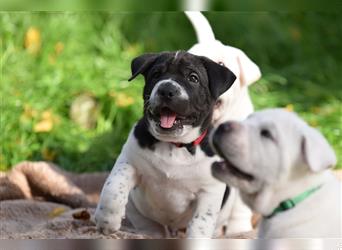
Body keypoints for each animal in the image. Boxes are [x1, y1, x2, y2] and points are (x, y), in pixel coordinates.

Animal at [93, 50, 243, 238]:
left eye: (193, 78)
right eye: (156, 74)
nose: (166, 89)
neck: (174, 145)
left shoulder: (209, 190)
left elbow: (201, 222)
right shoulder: (129, 161)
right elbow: (113, 187)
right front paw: (107, 220)